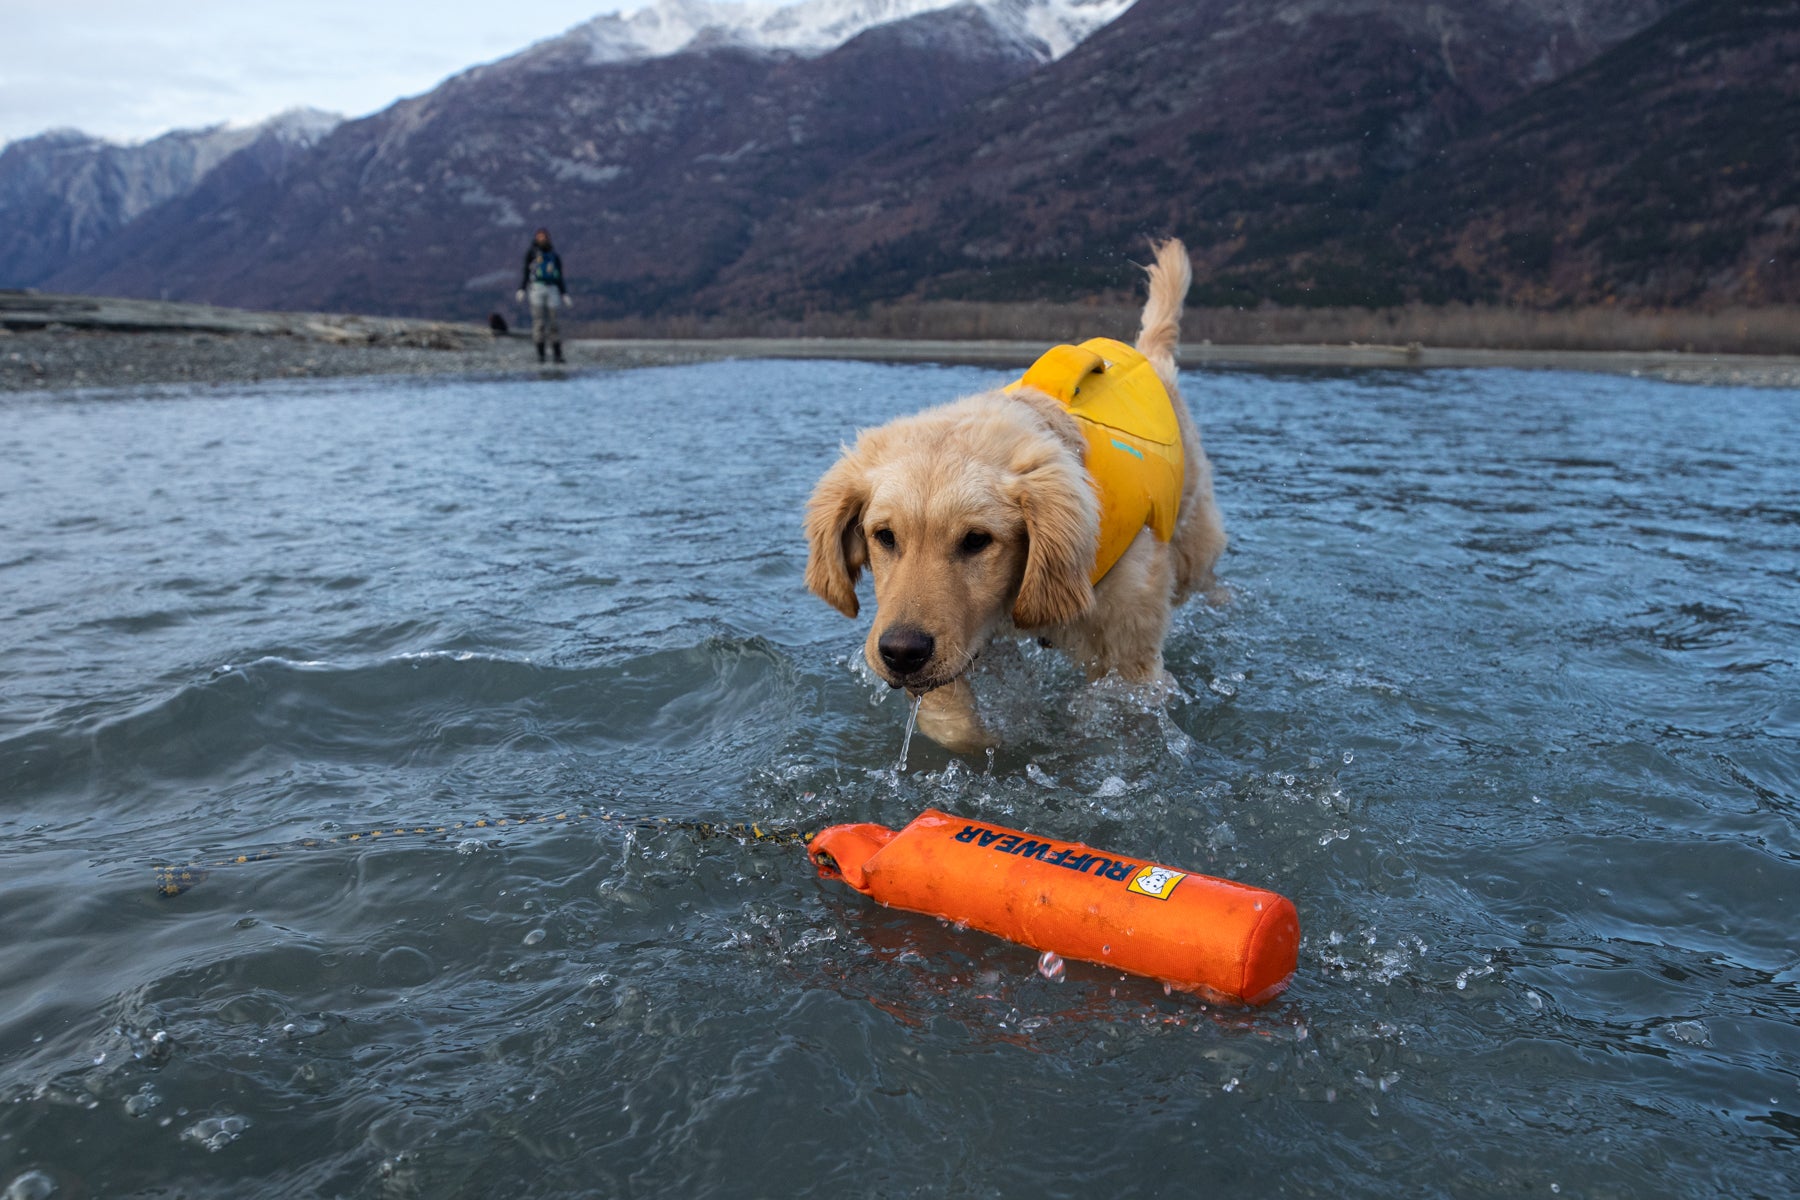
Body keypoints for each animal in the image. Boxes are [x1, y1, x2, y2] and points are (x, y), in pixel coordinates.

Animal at [810, 241, 1231, 752]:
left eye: (976, 540)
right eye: (884, 535)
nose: (902, 653)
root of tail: (1148, 354)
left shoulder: (1132, 660)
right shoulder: (965, 640)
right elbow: (952, 722)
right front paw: (996, 740)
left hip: (1193, 538)